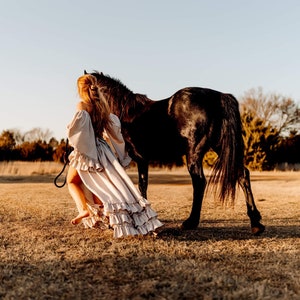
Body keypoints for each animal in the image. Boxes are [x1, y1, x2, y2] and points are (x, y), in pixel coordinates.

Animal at [87, 70, 264, 234]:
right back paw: (256, 223)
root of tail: (219, 97)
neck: (128, 113)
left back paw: (190, 222)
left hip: (194, 154)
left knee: (199, 182)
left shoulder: (140, 159)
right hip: (221, 148)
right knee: (242, 174)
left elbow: (139, 186)